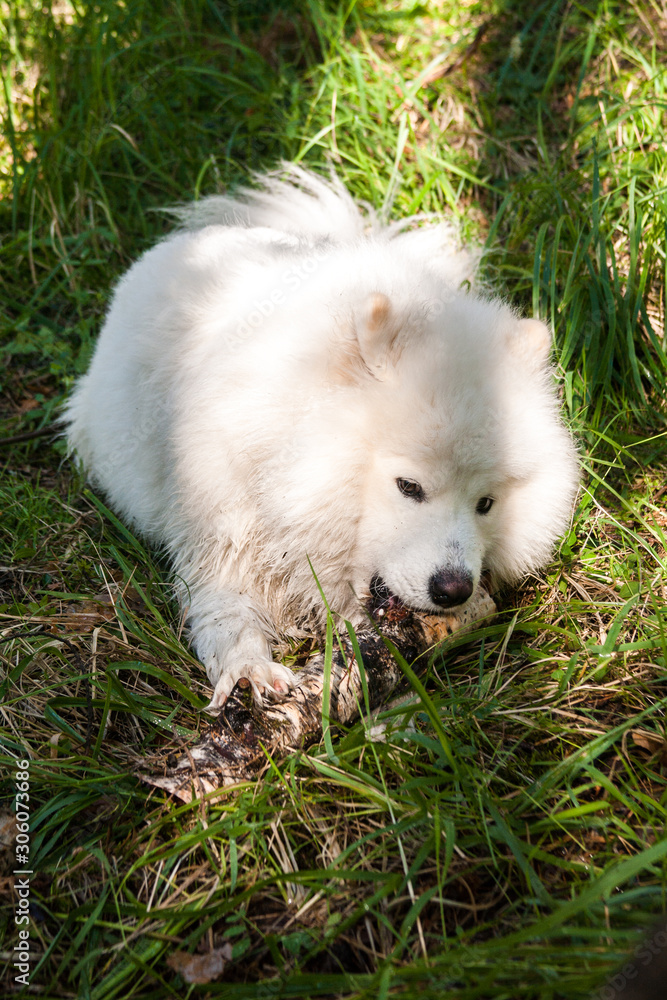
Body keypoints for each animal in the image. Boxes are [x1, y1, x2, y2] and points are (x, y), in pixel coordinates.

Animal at [66, 166, 580, 712]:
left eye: (486, 503)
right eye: (409, 487)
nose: (455, 589)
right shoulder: (222, 538)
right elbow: (226, 617)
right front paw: (248, 671)